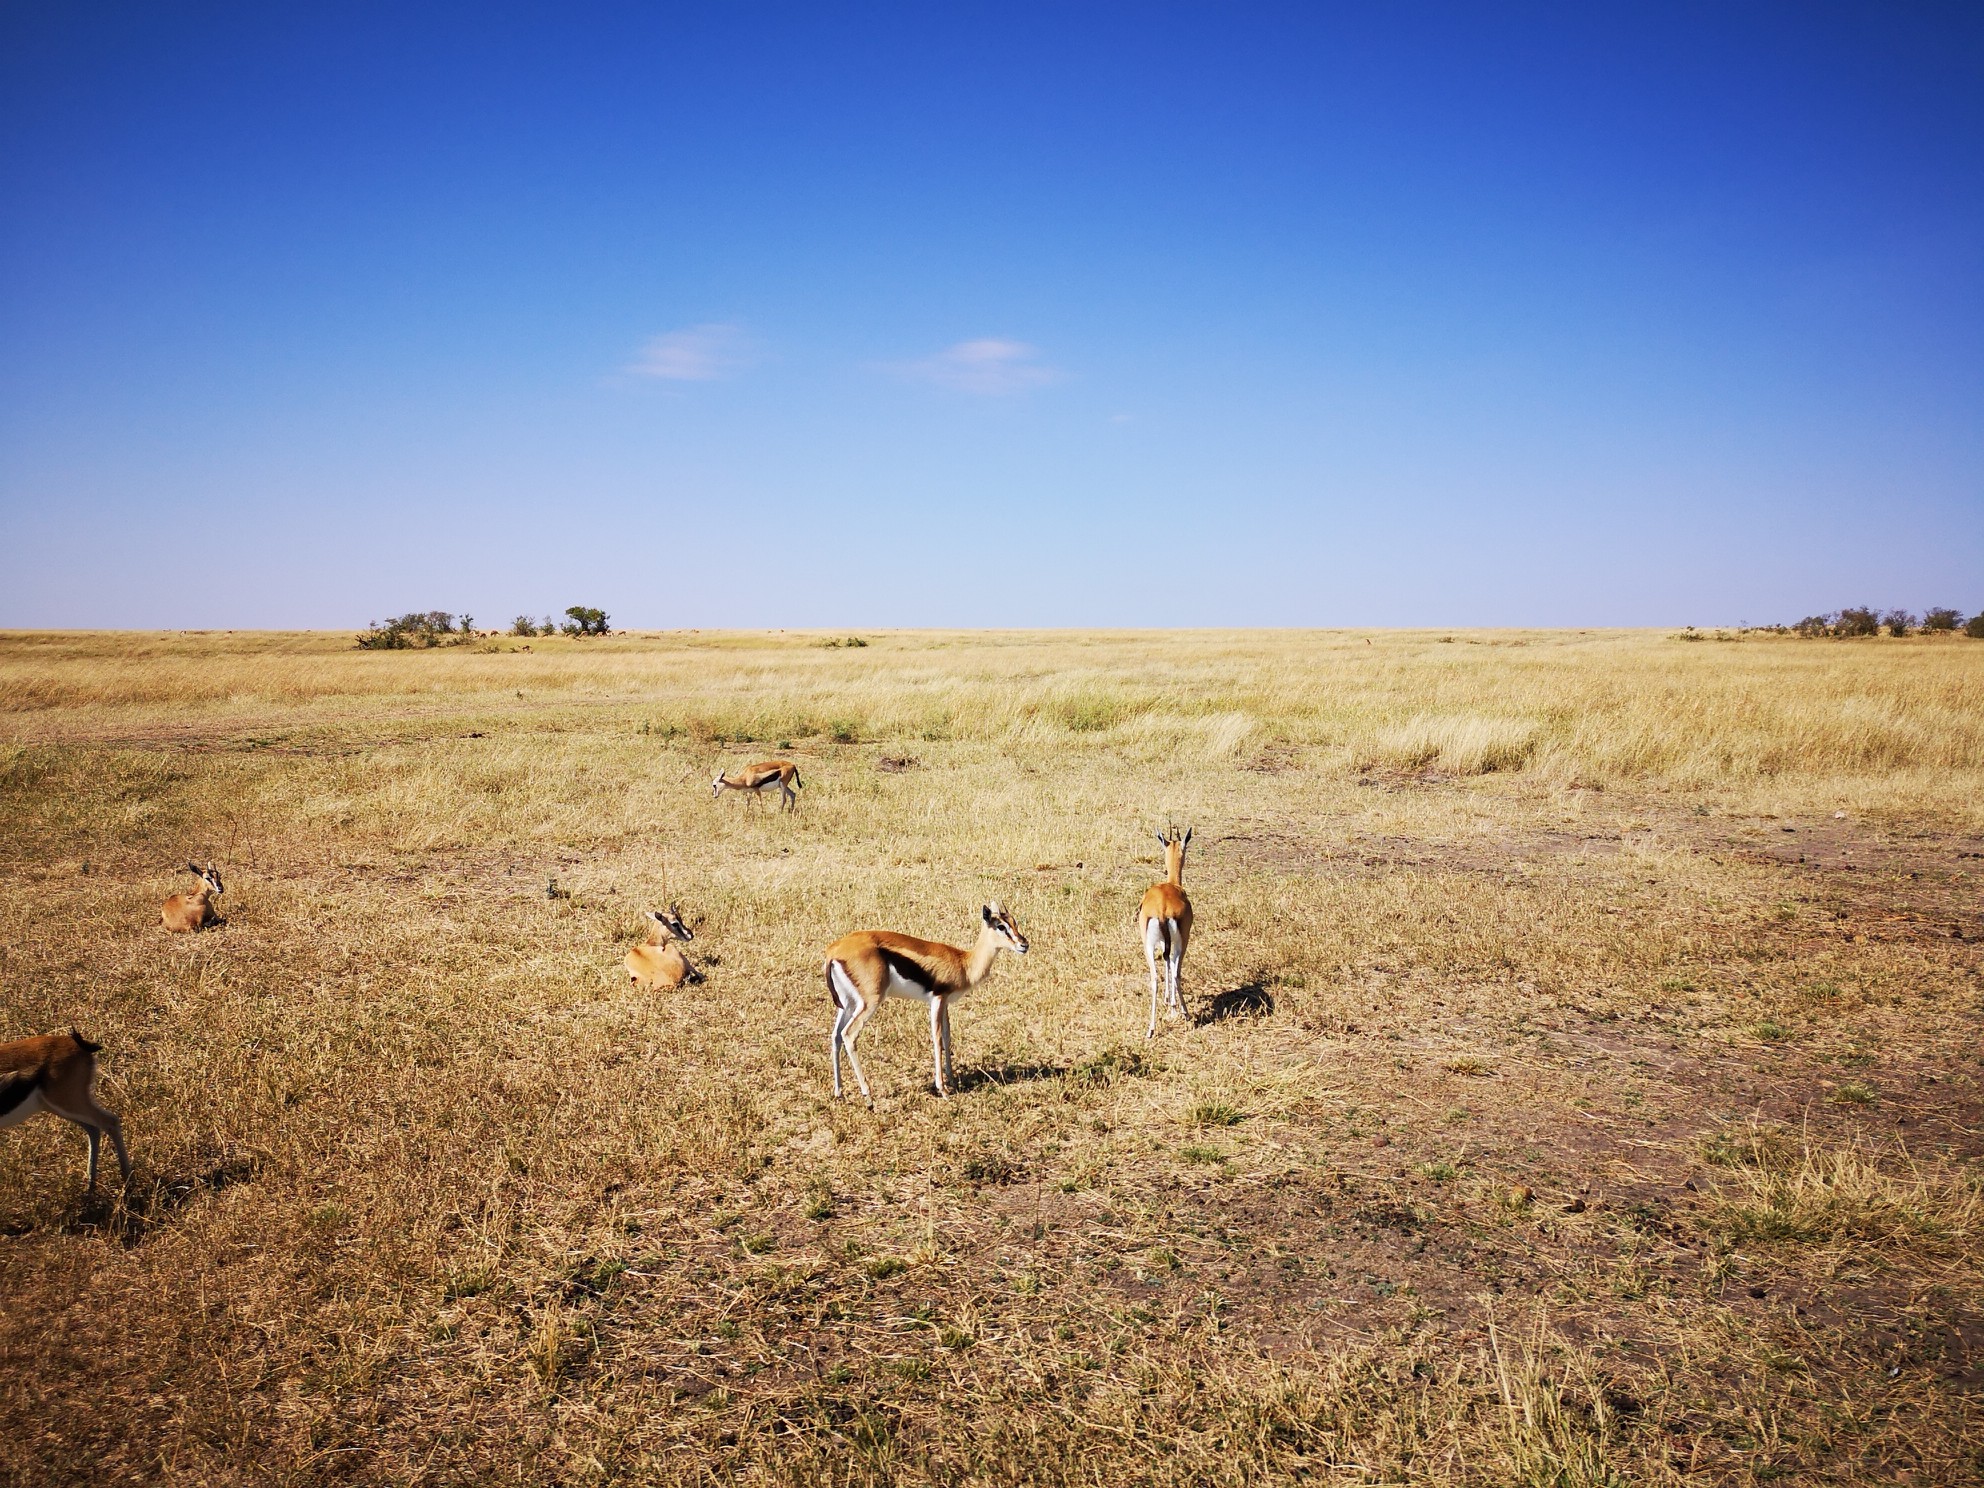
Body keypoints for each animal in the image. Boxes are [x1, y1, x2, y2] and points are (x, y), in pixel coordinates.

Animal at [0, 1031, 130, 1198]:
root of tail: (77, 1044)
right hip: (56, 1106)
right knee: (93, 1129)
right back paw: (90, 1187)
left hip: (67, 1101)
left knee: (110, 1121)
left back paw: (126, 1182)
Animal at [825, 904, 1031, 1103]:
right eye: (1001, 926)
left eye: (1014, 922)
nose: (1024, 944)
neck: (964, 963)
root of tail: (834, 951)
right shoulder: (937, 999)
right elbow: (937, 1038)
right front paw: (943, 1091)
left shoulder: (945, 1002)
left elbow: (947, 1037)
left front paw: (952, 1081)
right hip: (870, 1002)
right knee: (848, 1034)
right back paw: (868, 1096)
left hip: (848, 1004)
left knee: (836, 1036)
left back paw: (839, 1092)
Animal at [1134, 829, 1190, 1039]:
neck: (1172, 885)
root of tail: (1162, 909)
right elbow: (1172, 965)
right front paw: (1173, 1006)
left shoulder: (1161, 944)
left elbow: (1165, 963)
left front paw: (1168, 1001)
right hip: (1182, 942)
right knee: (1176, 970)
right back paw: (1186, 1013)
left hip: (1147, 946)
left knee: (1154, 978)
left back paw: (1150, 1029)